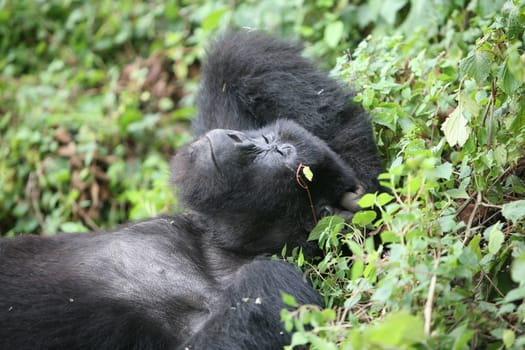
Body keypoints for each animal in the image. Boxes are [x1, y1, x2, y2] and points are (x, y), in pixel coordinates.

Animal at [0, 30, 380, 350]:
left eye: (277, 151)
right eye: (265, 135)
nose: (236, 137)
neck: (218, 251)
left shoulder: (264, 284)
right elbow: (234, 63)